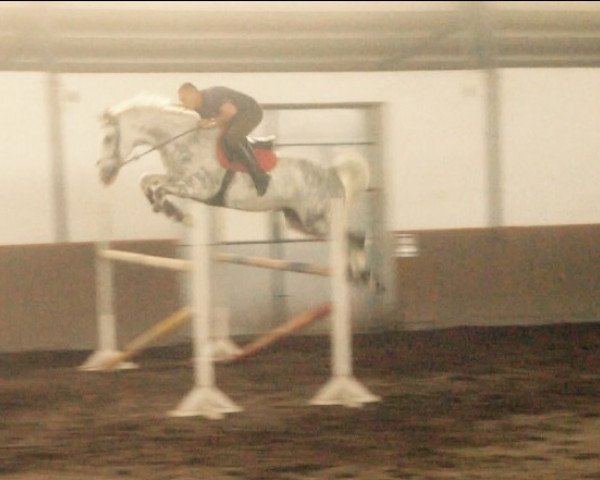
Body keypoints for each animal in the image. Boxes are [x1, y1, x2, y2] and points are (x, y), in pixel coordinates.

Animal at [96, 94, 372, 282]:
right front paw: (166, 209)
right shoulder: (176, 178)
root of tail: (332, 174)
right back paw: (354, 273)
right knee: (346, 238)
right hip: (300, 222)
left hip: (318, 219)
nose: (102, 174)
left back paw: (362, 274)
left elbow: (161, 189)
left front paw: (179, 215)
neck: (186, 141)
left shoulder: (199, 187)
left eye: (108, 138)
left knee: (356, 236)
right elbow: (146, 180)